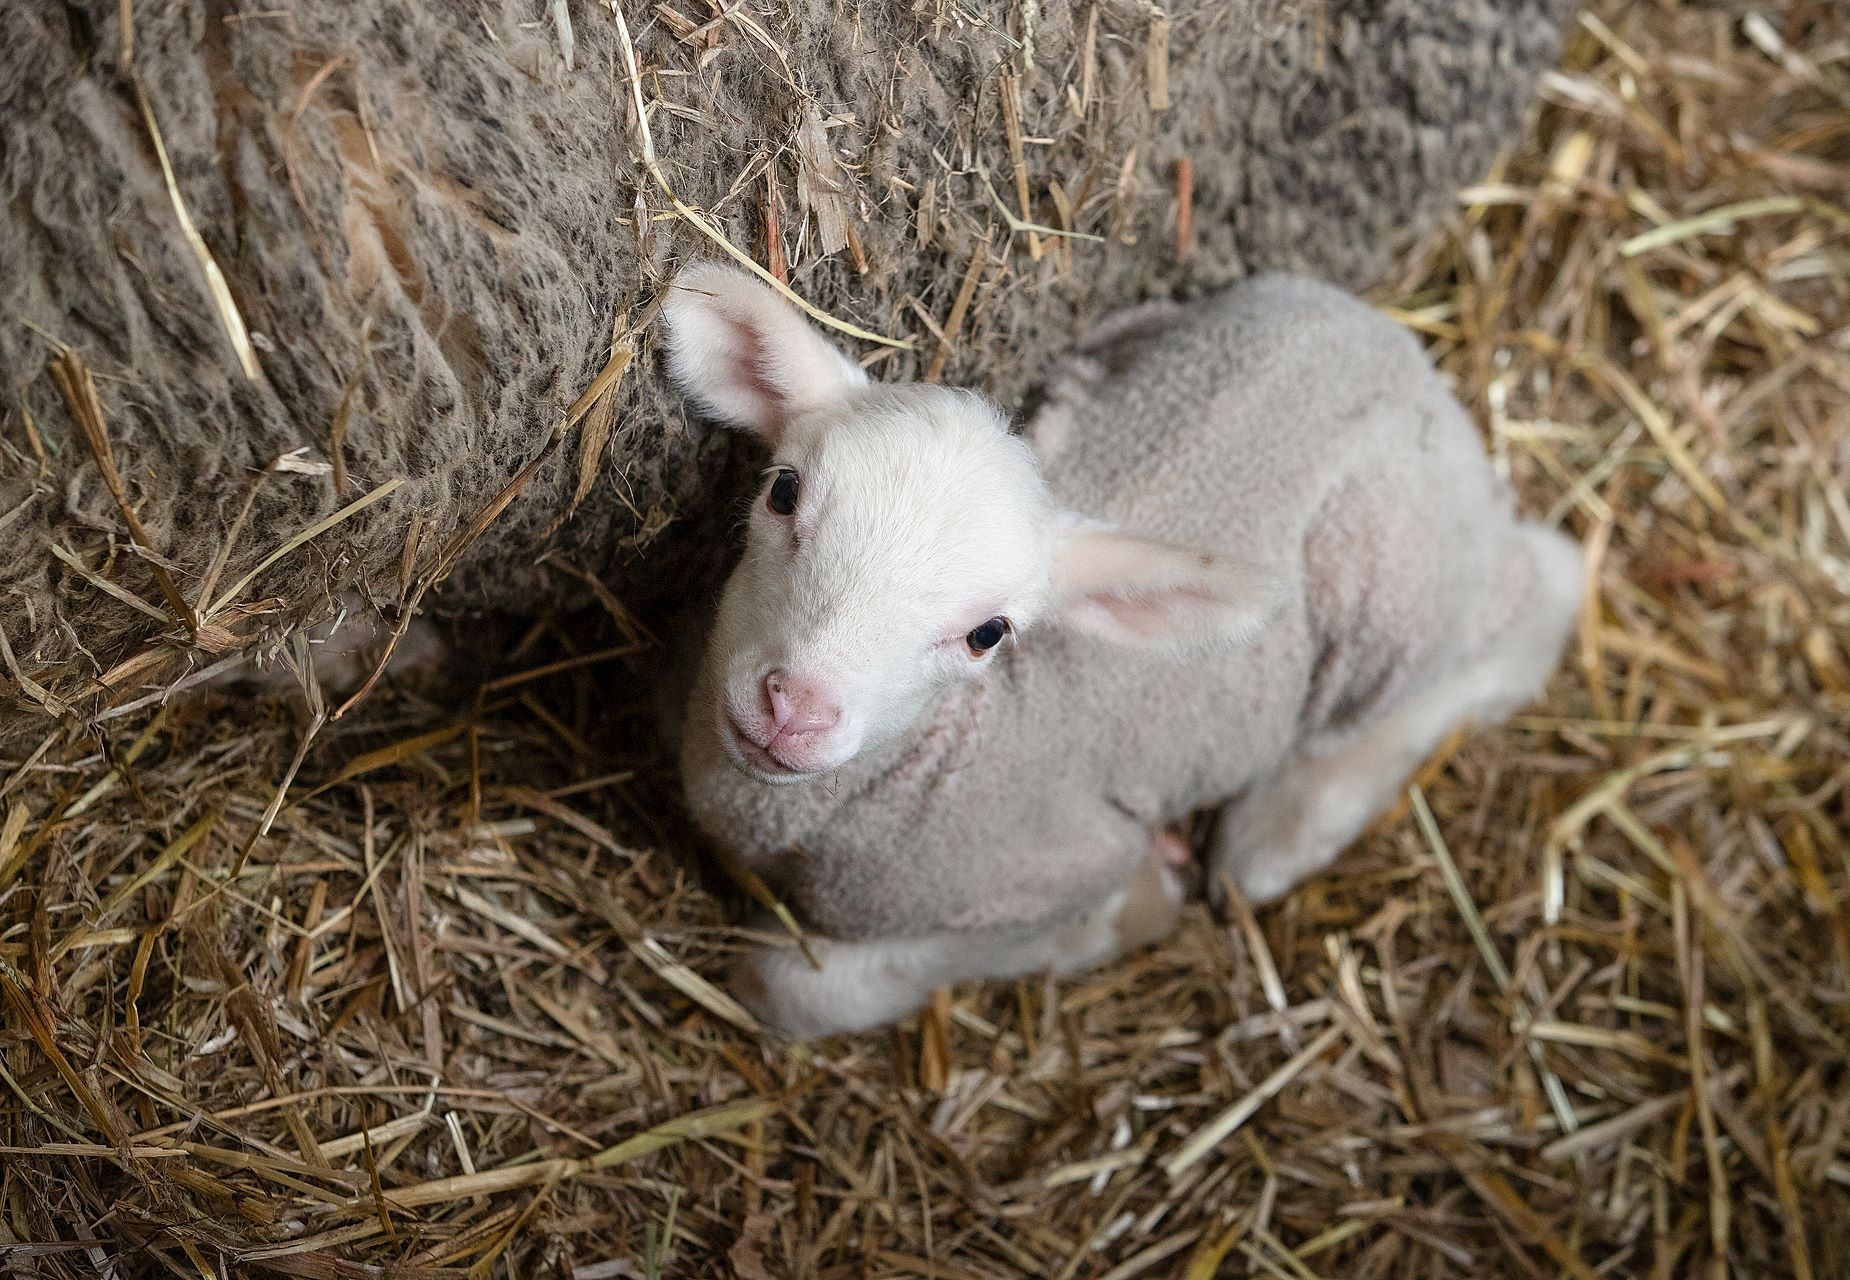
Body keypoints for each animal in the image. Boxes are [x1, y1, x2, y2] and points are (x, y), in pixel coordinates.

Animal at [660, 262, 1582, 1039]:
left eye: (988, 634)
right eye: (783, 493)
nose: (794, 709)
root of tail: (1407, 355)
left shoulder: (1053, 871)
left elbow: (789, 985)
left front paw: (1134, 906)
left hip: (1398, 572)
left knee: (1531, 602)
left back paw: (1277, 834)